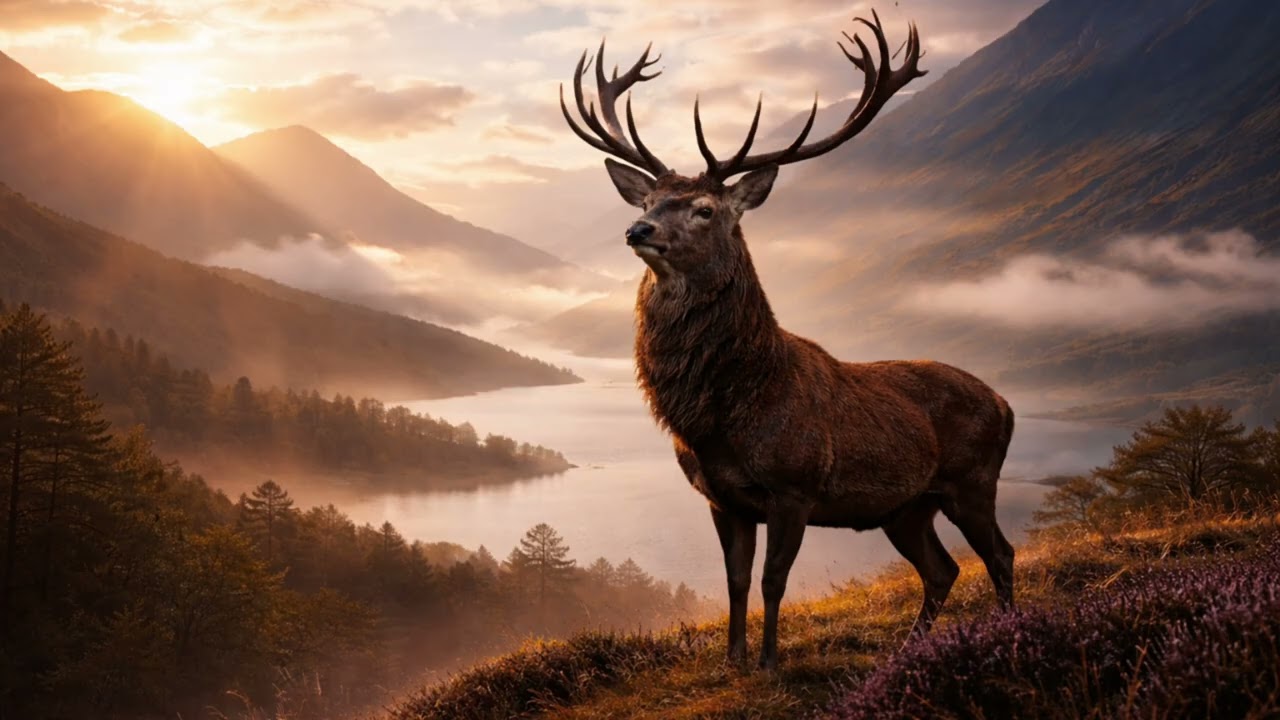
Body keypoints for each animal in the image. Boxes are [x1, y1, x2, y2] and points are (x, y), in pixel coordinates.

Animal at [559, 10, 1016, 671]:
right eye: (648, 197)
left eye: (704, 209)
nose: (637, 228)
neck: (724, 414)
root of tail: (1007, 405)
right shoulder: (722, 498)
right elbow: (736, 581)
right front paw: (733, 658)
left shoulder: (794, 487)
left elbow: (774, 580)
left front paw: (772, 660)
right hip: (906, 506)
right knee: (942, 569)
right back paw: (910, 651)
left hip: (973, 480)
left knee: (999, 554)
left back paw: (1008, 628)